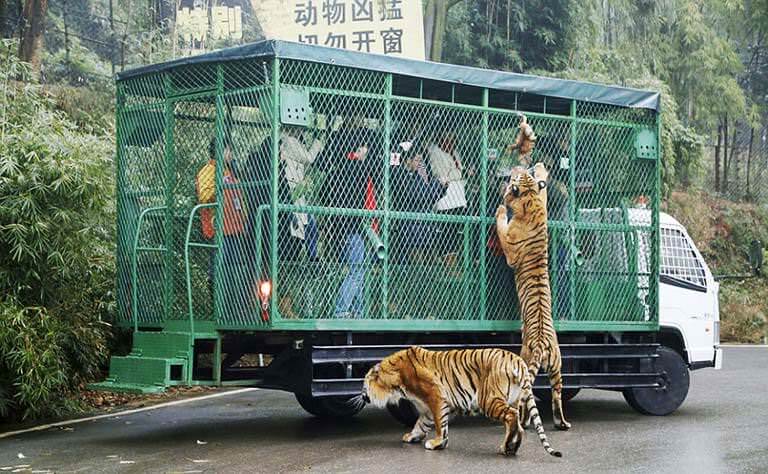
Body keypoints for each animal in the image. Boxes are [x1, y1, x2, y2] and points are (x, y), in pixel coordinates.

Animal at [364, 346, 560, 458]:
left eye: (364, 384)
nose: (362, 395)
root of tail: (518, 360)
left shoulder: (436, 396)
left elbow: (439, 424)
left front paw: (437, 443)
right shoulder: (428, 409)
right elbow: (421, 424)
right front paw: (413, 437)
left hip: (488, 399)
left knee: (512, 417)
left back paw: (506, 448)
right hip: (512, 399)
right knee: (518, 423)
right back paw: (511, 447)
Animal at [498, 161, 568, 432]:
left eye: (516, 177)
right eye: (523, 174)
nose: (516, 167)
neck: (529, 198)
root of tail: (542, 344)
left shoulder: (509, 248)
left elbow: (501, 224)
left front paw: (500, 206)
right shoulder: (543, 200)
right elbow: (545, 190)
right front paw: (540, 168)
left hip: (525, 360)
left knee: (523, 398)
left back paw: (524, 421)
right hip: (558, 366)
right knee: (557, 395)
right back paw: (562, 423)